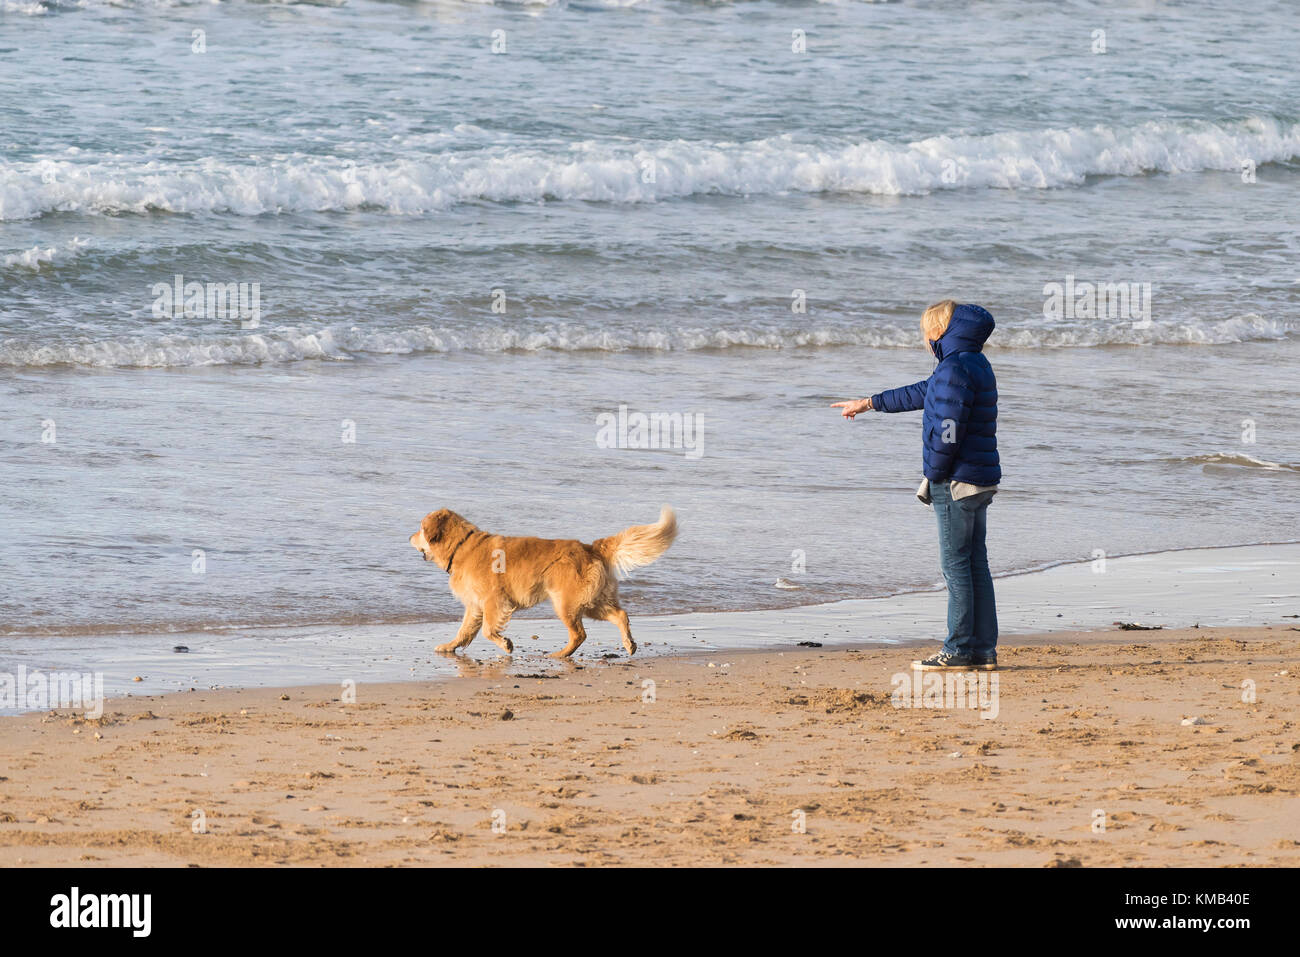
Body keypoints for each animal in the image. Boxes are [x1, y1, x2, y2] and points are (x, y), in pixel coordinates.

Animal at [408, 504, 676, 655]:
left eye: (420, 528)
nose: (409, 537)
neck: (462, 547)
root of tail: (590, 548)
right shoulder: (474, 606)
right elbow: (464, 631)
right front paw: (449, 646)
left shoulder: (494, 602)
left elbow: (487, 630)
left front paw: (505, 644)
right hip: (593, 601)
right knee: (620, 615)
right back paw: (629, 644)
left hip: (565, 603)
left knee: (579, 634)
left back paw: (559, 655)